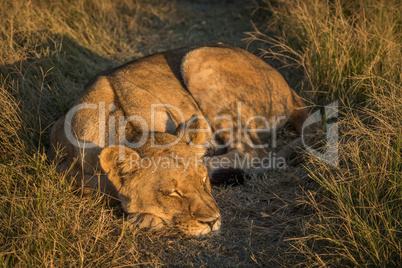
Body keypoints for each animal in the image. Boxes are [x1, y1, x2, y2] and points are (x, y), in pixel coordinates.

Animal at [49, 43, 308, 237]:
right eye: (172, 193)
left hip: (197, 60)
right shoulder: (57, 160)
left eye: (203, 181)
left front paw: (143, 216)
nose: (212, 221)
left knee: (254, 153)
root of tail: (290, 89)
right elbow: (95, 183)